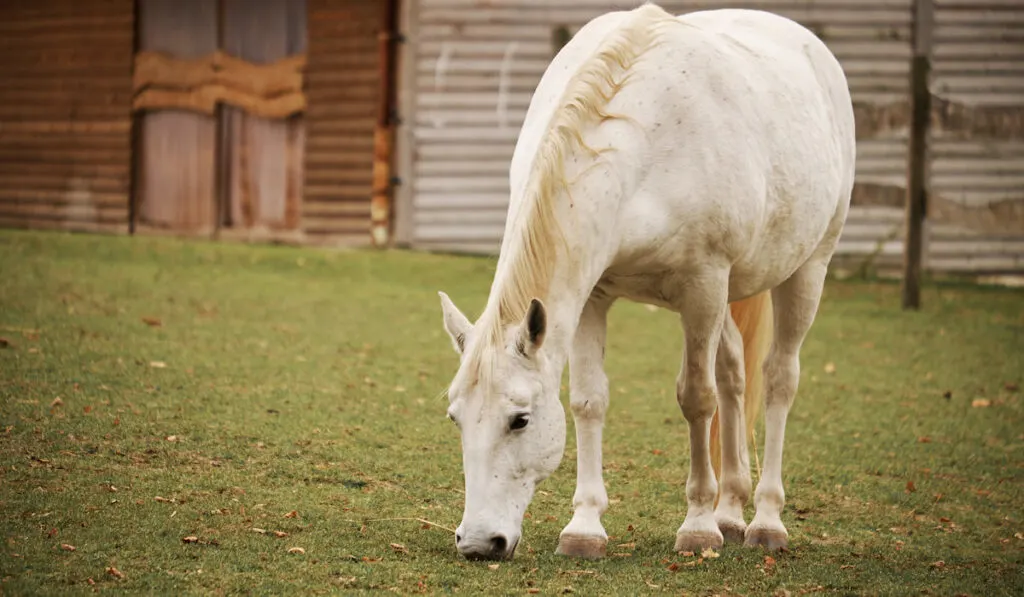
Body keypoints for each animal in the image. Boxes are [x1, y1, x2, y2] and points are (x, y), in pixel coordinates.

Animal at [436, 3, 851, 561]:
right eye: (456, 418)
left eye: (519, 419)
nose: (480, 541)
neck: (642, 145)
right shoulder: (592, 295)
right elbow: (589, 400)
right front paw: (584, 527)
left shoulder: (703, 285)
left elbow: (696, 397)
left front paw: (697, 526)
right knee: (735, 375)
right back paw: (730, 510)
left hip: (806, 271)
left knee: (778, 380)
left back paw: (765, 520)